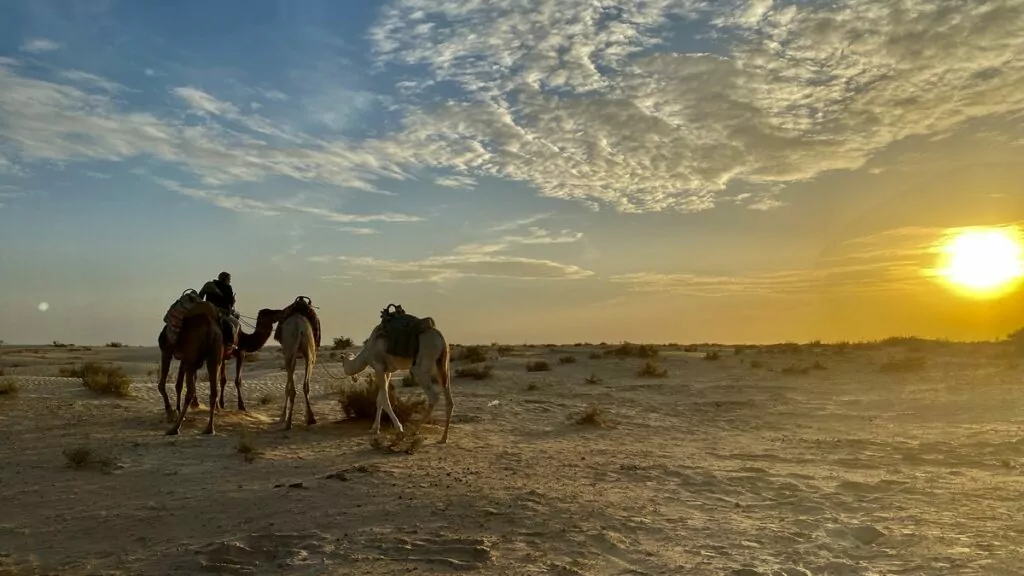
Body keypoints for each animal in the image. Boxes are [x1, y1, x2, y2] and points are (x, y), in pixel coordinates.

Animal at [155, 301, 224, 430]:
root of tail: (210, 329)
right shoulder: (184, 358)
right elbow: (178, 385)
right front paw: (177, 411)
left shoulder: (167, 350)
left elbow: (162, 384)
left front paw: (170, 412)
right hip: (214, 356)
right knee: (213, 390)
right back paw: (209, 428)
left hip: (191, 358)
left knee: (190, 391)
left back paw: (175, 428)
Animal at [339, 303, 452, 440]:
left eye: (342, 363)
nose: (354, 378)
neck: (366, 353)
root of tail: (440, 338)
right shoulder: (388, 371)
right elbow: (379, 400)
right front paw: (375, 428)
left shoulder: (378, 366)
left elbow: (385, 400)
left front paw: (399, 427)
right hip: (443, 364)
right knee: (448, 397)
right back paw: (444, 437)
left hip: (421, 365)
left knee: (434, 396)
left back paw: (415, 430)